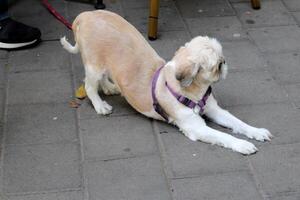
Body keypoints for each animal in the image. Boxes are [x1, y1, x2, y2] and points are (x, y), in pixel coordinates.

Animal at [61, 10, 272, 155]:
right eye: (217, 66)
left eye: (222, 60)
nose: (225, 62)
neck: (193, 93)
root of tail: (85, 15)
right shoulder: (196, 128)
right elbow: (224, 136)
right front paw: (242, 144)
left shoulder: (215, 110)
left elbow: (238, 123)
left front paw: (256, 132)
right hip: (94, 65)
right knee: (89, 85)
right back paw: (100, 105)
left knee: (104, 77)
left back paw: (109, 87)